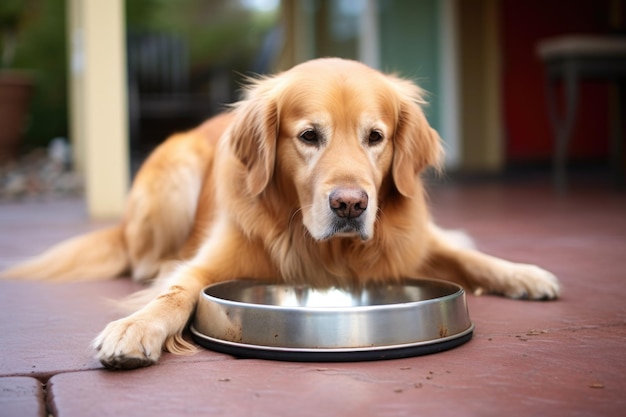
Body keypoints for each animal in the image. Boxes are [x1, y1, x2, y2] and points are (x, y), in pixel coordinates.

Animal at [0, 57, 560, 368]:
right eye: (309, 136)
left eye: (375, 137)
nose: (351, 204)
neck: (326, 249)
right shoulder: (206, 263)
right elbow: (174, 292)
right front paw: (135, 328)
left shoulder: (410, 241)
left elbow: (470, 256)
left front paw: (525, 274)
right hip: (175, 170)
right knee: (143, 258)